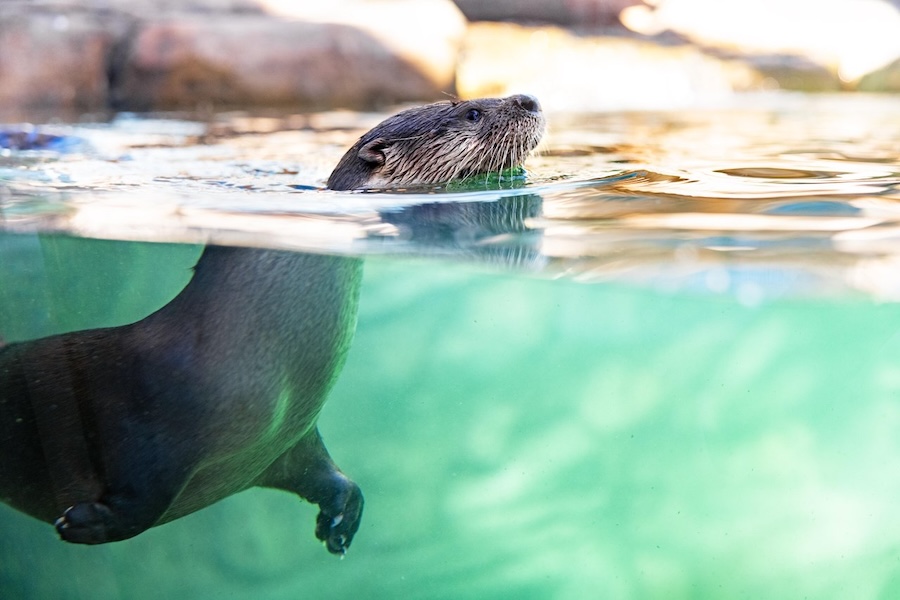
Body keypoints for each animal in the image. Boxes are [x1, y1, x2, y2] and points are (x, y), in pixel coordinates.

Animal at [0, 94, 544, 554]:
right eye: (472, 112)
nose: (530, 99)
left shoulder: (283, 441)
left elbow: (325, 473)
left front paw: (341, 518)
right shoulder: (149, 431)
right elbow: (137, 504)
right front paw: (84, 523)